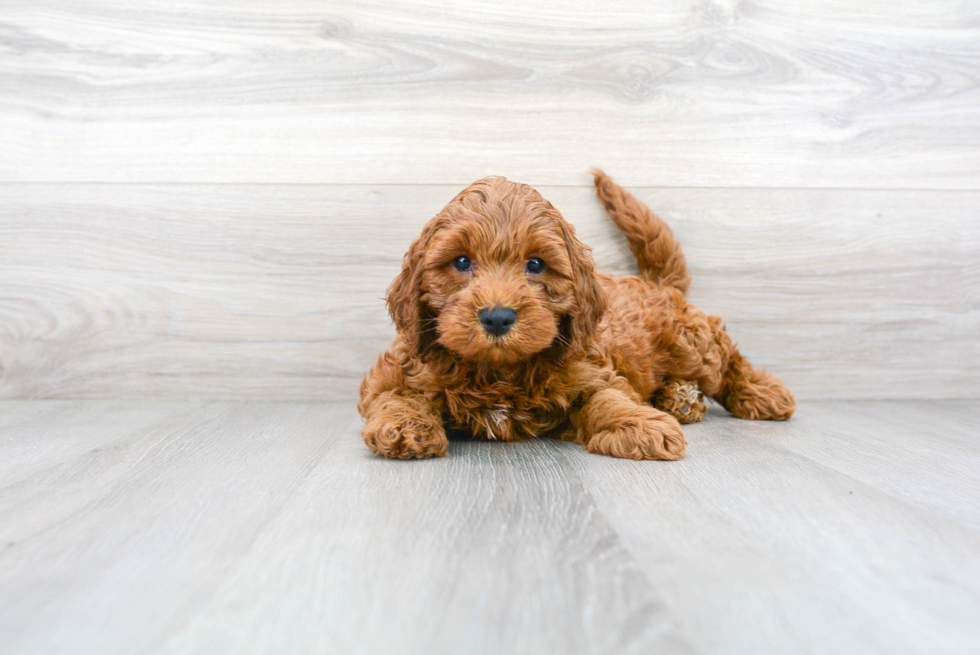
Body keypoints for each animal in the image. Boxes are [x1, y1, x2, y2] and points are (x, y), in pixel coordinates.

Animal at [360, 173, 796, 462]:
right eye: (462, 262)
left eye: (536, 265)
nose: (497, 317)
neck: (499, 371)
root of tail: (655, 281)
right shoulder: (402, 365)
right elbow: (395, 394)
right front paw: (406, 426)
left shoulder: (589, 368)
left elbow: (609, 398)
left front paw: (638, 424)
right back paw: (681, 399)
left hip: (691, 343)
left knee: (726, 359)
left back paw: (759, 392)